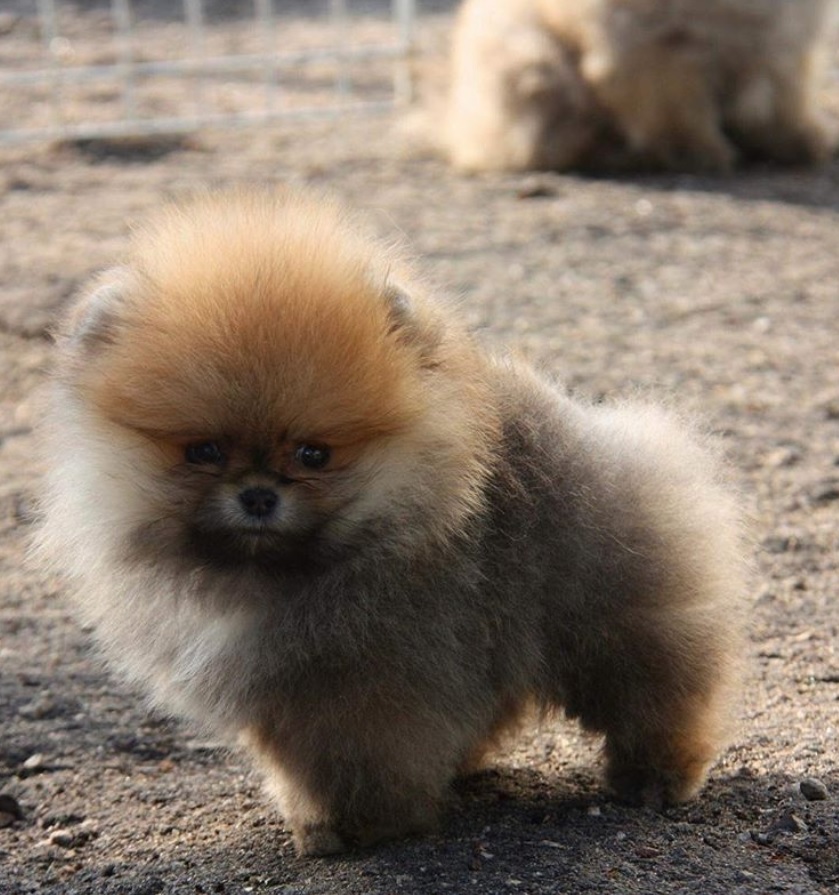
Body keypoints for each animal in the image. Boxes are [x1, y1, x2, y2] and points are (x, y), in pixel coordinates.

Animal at [39, 189, 744, 856]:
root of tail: (571, 422)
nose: (259, 495)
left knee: (658, 689)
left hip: (612, 608)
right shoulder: (287, 689)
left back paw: (654, 778)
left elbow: (361, 759)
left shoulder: (368, 680)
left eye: (314, 454)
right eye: (204, 451)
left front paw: (356, 827)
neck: (286, 575)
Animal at [442, 0, 836, 173]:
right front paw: (696, 153)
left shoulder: (784, 39)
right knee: (543, 143)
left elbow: (782, 97)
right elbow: (675, 111)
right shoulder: (659, 44)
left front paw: (799, 141)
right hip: (533, 61)